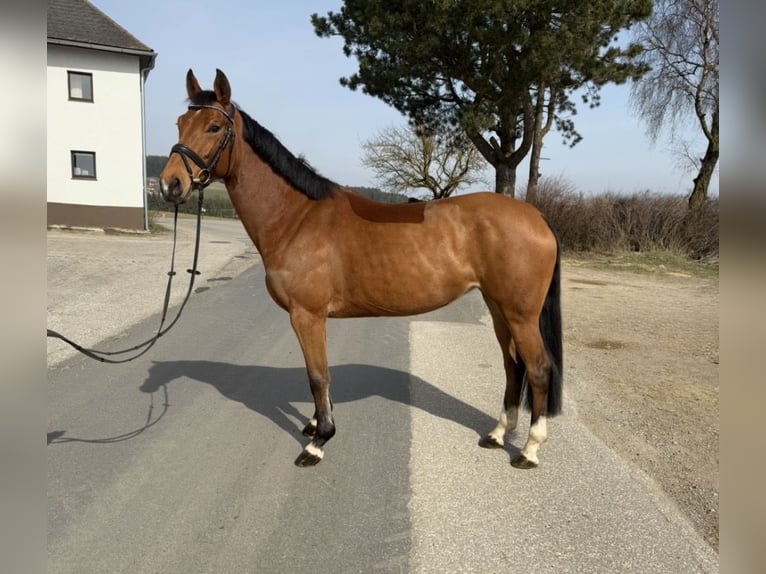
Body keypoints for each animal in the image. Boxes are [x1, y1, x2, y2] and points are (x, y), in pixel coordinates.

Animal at [160, 69, 563, 469]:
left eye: (214, 126)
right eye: (180, 123)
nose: (170, 184)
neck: (297, 218)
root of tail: (537, 216)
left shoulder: (306, 315)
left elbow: (317, 376)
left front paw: (318, 441)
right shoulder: (313, 318)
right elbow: (320, 375)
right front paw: (315, 424)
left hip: (520, 314)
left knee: (538, 368)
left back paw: (529, 449)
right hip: (498, 309)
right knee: (513, 366)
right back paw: (497, 434)